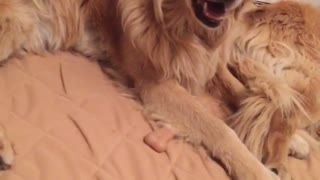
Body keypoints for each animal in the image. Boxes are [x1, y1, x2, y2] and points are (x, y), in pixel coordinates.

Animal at [0, 0, 284, 179]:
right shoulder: (157, 84)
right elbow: (218, 127)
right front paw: (258, 171)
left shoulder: (204, 64)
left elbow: (238, 88)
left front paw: (288, 139)